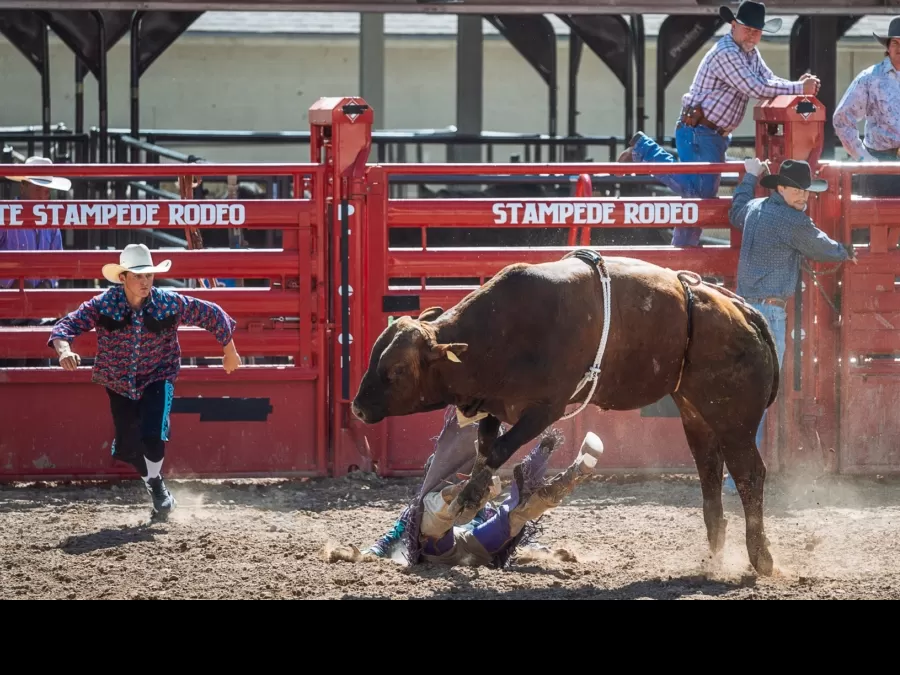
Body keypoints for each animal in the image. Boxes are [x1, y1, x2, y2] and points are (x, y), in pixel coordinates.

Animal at [352, 251, 780, 580]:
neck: (501, 332)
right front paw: (474, 490)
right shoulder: (492, 402)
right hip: (697, 416)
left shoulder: (545, 408)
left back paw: (760, 557)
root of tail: (743, 312)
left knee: (748, 475)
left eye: (396, 370)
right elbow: (485, 447)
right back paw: (716, 552)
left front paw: (471, 495)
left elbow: (499, 449)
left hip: (734, 419)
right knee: (710, 472)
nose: (357, 406)